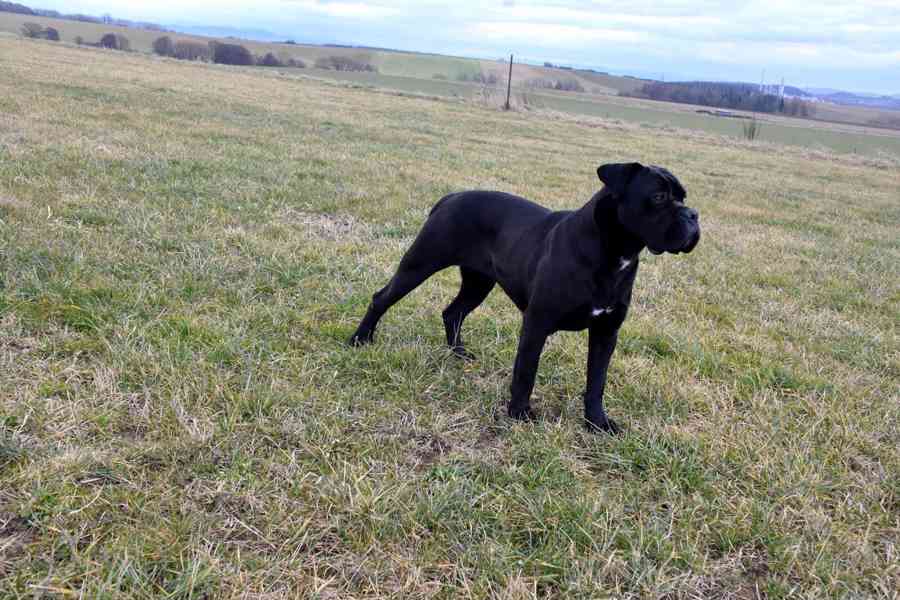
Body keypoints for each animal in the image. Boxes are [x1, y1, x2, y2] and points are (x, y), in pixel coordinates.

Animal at [348, 164, 700, 434]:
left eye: (684, 197)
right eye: (658, 197)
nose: (693, 215)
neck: (614, 251)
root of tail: (451, 197)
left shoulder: (606, 332)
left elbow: (596, 382)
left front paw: (597, 423)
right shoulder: (537, 323)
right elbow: (526, 372)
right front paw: (519, 413)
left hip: (478, 282)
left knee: (453, 312)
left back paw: (459, 353)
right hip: (420, 263)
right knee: (382, 298)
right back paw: (360, 339)